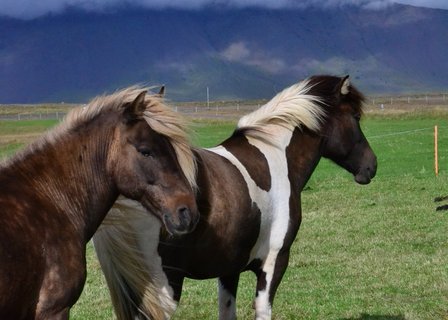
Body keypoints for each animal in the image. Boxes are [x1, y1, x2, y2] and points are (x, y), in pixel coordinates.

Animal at [94, 75, 378, 320]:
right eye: (355, 116)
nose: (371, 166)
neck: (275, 154)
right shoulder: (274, 261)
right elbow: (263, 310)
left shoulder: (229, 269)